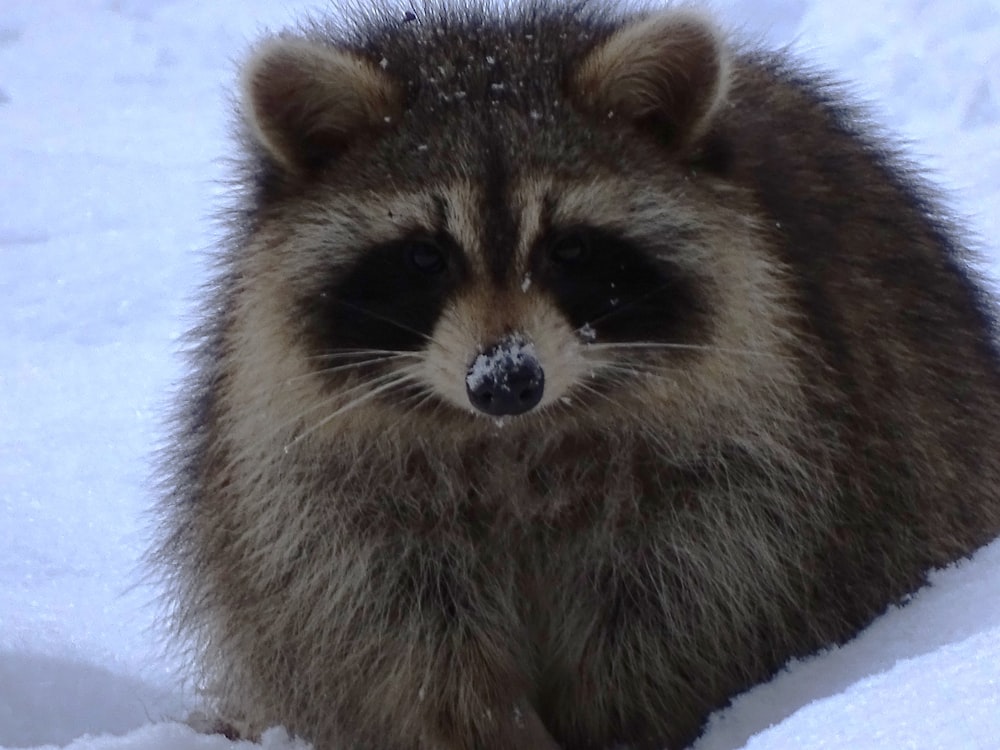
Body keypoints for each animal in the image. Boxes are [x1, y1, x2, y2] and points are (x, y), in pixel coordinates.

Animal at [154, 1, 1000, 750]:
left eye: (569, 249)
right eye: (426, 257)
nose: (505, 379)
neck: (515, 441)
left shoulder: (748, 466)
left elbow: (686, 615)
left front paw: (619, 728)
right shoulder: (319, 487)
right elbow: (395, 638)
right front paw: (487, 729)